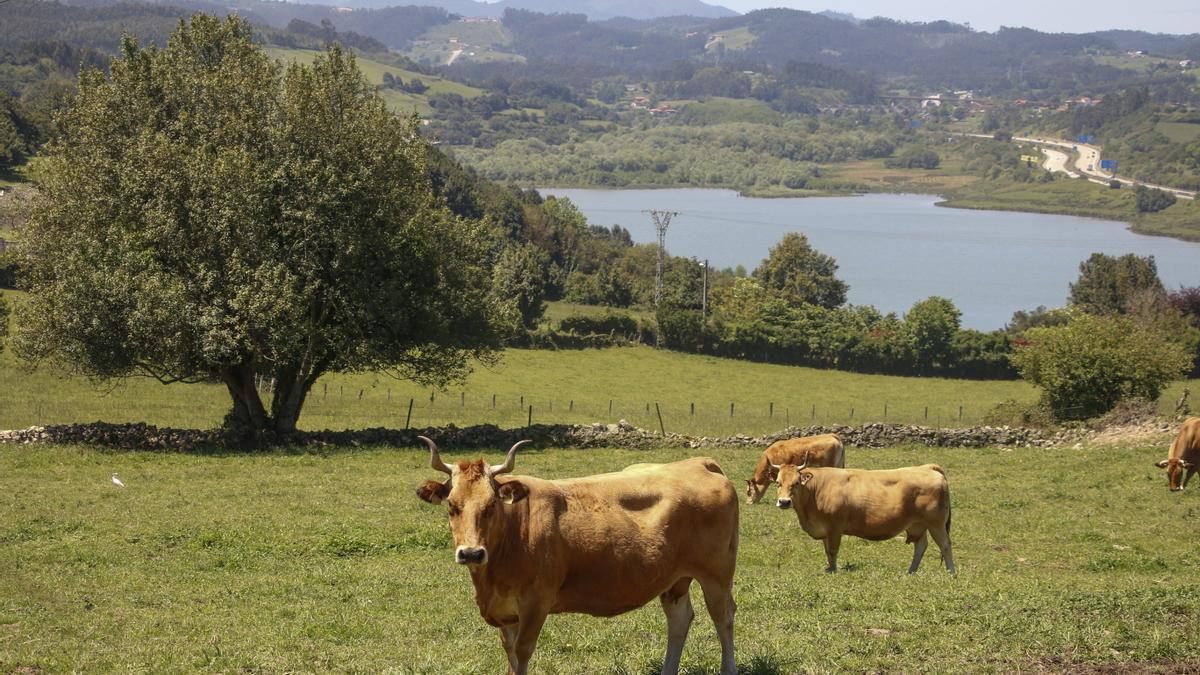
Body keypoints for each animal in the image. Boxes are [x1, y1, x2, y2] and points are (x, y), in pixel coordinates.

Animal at [415, 437, 739, 672]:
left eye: (491, 505)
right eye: (452, 505)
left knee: (723, 617)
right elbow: (510, 653)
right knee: (679, 619)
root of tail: (699, 463)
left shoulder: (536, 601)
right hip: (674, 579)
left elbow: (523, 651)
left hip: (717, 575)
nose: (471, 553)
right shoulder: (506, 611)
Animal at [777, 451, 955, 571]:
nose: (784, 502)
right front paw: (829, 569)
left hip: (936, 524)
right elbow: (827, 551)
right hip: (917, 524)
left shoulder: (835, 527)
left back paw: (951, 573)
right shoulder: (824, 529)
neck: (816, 489)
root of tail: (928, 468)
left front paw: (833, 571)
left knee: (945, 545)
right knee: (921, 545)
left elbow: (833, 551)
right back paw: (911, 571)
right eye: (778, 483)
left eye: (796, 483)